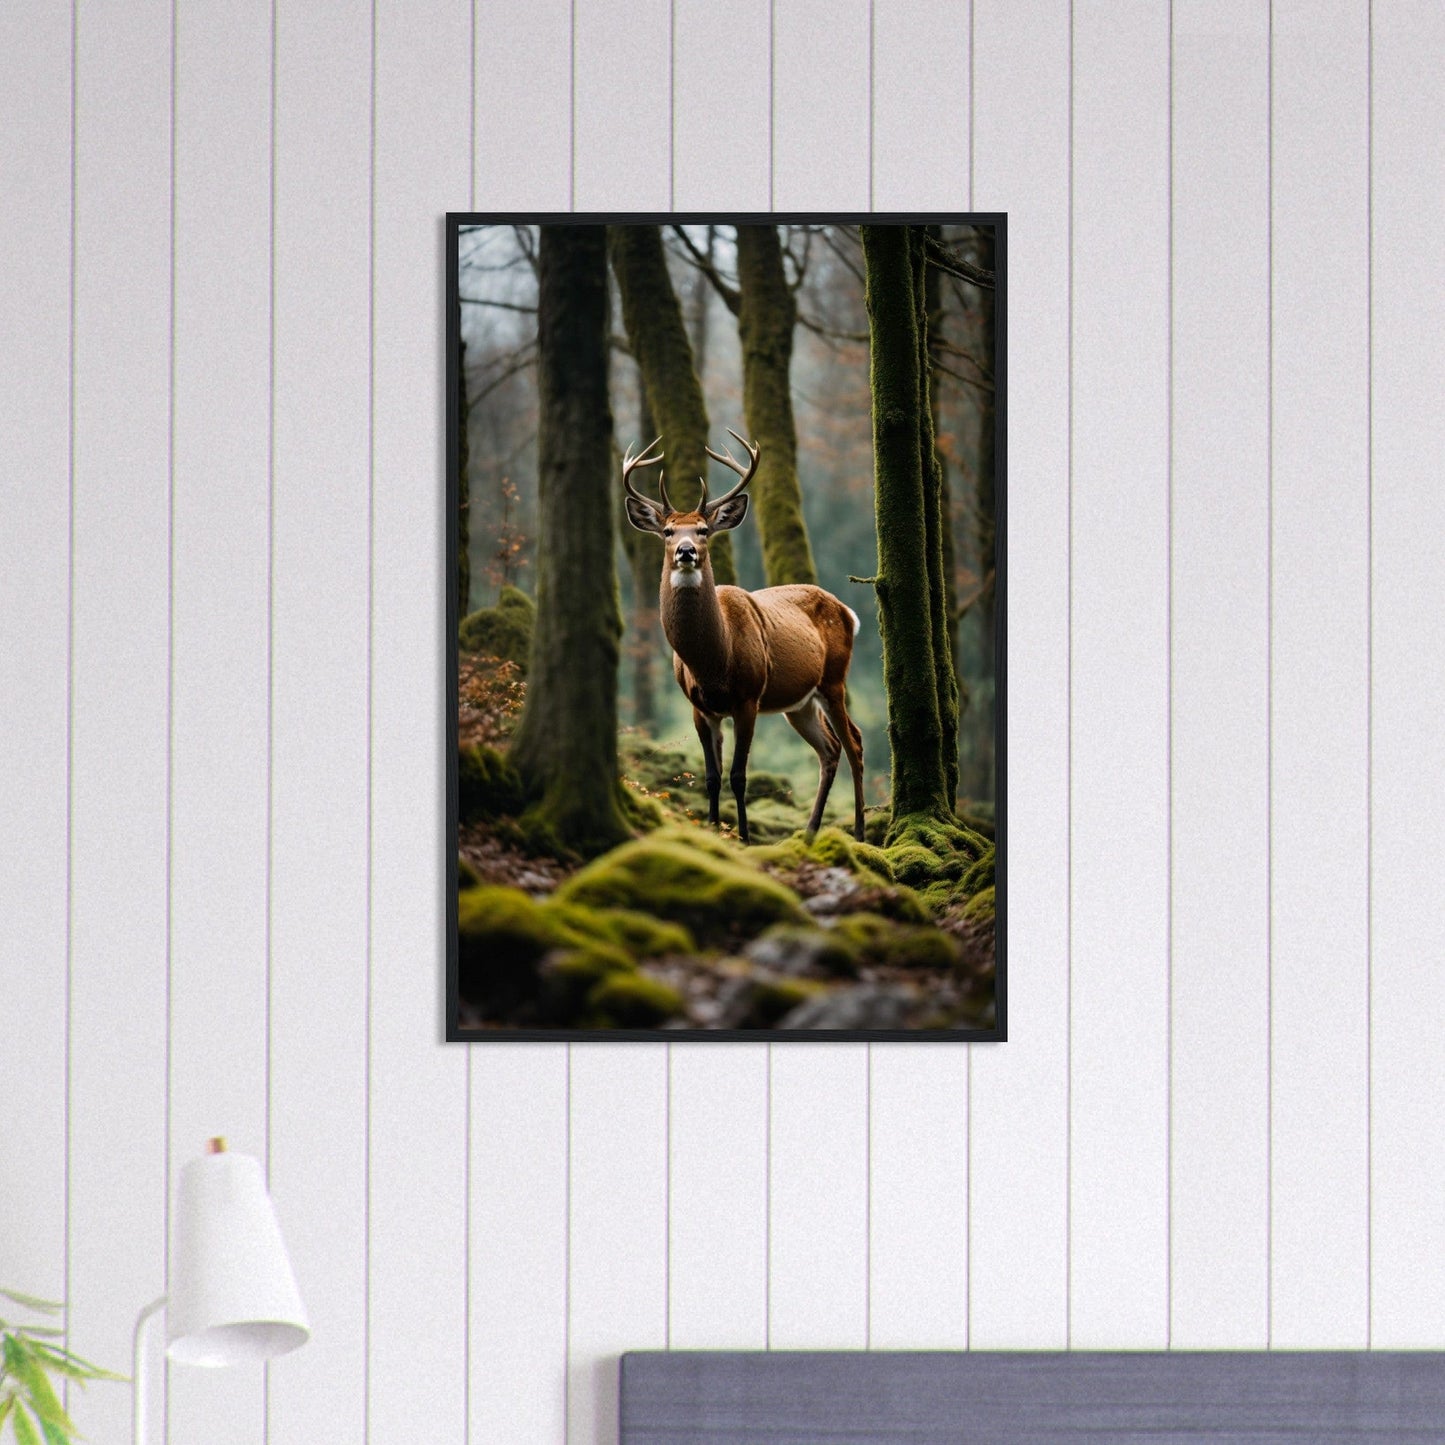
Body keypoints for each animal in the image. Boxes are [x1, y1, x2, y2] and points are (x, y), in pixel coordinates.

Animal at [622, 430, 866, 845]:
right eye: (668, 531)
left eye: (703, 530)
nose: (686, 551)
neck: (714, 661)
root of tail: (847, 612)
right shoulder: (700, 707)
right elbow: (711, 777)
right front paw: (713, 832)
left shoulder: (748, 697)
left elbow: (738, 776)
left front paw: (746, 839)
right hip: (798, 702)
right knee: (830, 749)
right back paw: (809, 833)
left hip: (834, 679)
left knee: (855, 743)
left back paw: (862, 833)